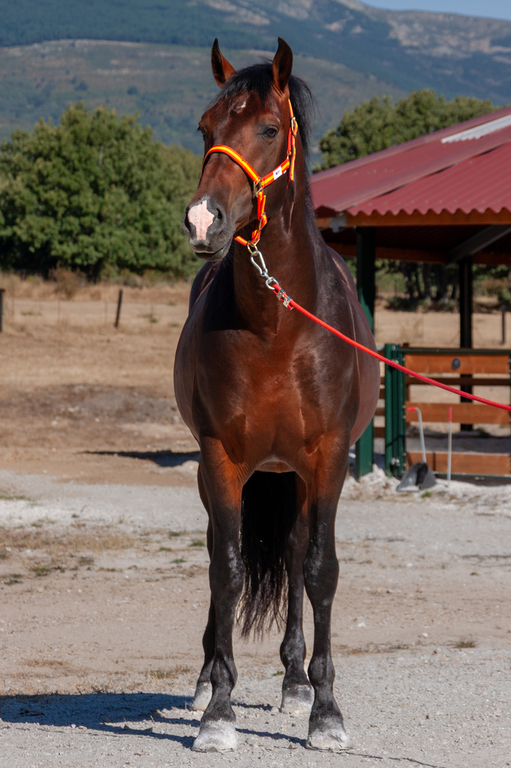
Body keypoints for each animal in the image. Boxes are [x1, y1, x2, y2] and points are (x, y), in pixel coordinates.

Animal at [175, 37, 380, 752]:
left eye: (268, 129)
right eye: (205, 127)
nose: (202, 220)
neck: (276, 324)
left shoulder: (328, 459)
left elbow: (319, 569)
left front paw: (326, 710)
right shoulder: (220, 457)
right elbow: (227, 569)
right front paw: (217, 709)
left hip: (293, 472)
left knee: (293, 555)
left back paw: (295, 684)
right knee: (222, 546)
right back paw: (207, 679)